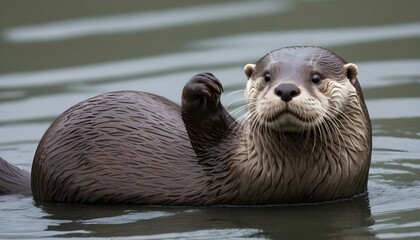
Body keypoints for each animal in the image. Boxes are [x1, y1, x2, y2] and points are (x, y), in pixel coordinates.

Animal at [0, 46, 370, 204]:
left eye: (316, 77)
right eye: (267, 76)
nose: (286, 88)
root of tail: (32, 179)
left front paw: (197, 95)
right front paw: (204, 85)